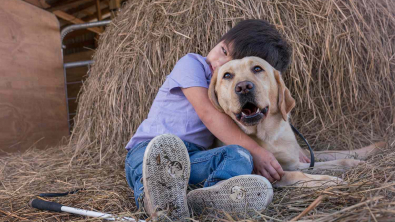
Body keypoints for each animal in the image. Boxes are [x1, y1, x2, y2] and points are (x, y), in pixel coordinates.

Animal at [209, 56, 386, 186]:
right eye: (227, 75)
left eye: (257, 69)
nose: (244, 87)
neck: (267, 135)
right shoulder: (271, 172)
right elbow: (298, 175)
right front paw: (329, 180)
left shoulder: (297, 160)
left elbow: (336, 159)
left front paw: (357, 163)